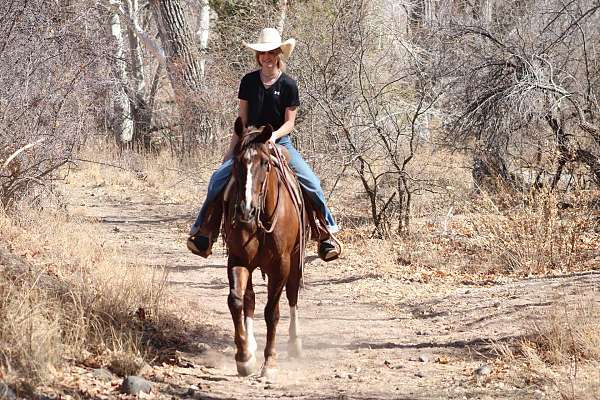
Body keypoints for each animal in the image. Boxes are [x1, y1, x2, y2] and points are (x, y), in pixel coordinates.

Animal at [224, 117, 308, 380]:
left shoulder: (281, 265)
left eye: (264, 163)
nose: (246, 210)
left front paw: (269, 362)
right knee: (249, 299)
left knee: (292, 296)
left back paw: (295, 343)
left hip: (295, 260)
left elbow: (272, 311)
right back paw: (250, 346)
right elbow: (237, 301)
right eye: (237, 161)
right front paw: (244, 358)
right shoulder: (238, 259)